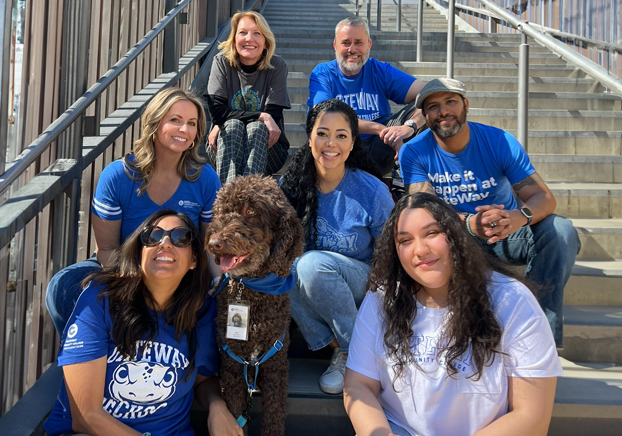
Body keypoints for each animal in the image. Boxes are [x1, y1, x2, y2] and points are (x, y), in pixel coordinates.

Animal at [207, 175, 304, 436]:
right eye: (222, 211)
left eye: (250, 211)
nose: (214, 243)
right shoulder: (232, 366)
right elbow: (235, 412)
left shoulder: (275, 367)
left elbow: (274, 415)